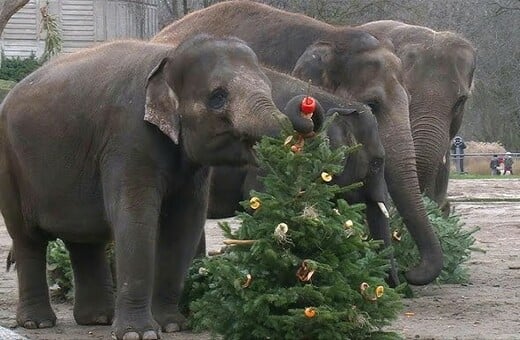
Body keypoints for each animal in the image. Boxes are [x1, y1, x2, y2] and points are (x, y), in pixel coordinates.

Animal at [0, 35, 320, 340]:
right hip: (11, 166)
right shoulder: (128, 137)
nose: (307, 104)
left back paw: (97, 319)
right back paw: (39, 322)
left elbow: (183, 224)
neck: (168, 55)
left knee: (84, 239)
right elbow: (135, 219)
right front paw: (137, 333)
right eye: (217, 98)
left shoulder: (191, 166)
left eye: (267, 87)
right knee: (28, 238)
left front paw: (172, 326)